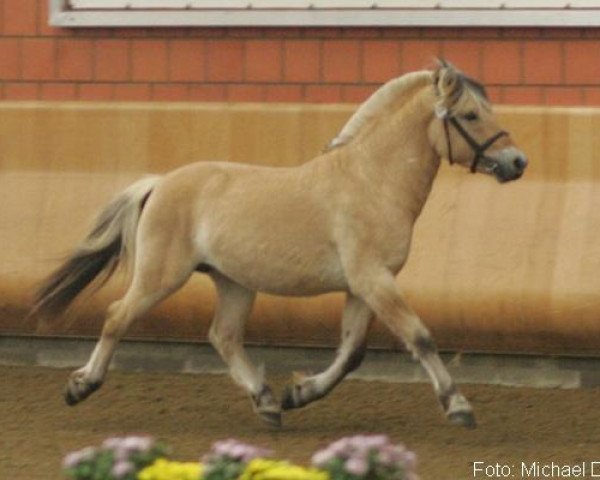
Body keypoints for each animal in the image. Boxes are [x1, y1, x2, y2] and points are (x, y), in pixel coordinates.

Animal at [32, 62, 528, 430]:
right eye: (470, 115)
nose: (516, 162)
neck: (370, 181)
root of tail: (160, 184)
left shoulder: (362, 286)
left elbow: (352, 352)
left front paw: (298, 393)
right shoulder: (373, 279)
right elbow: (419, 337)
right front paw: (459, 406)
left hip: (234, 282)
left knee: (224, 336)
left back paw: (268, 404)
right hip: (161, 277)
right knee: (118, 316)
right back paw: (80, 386)